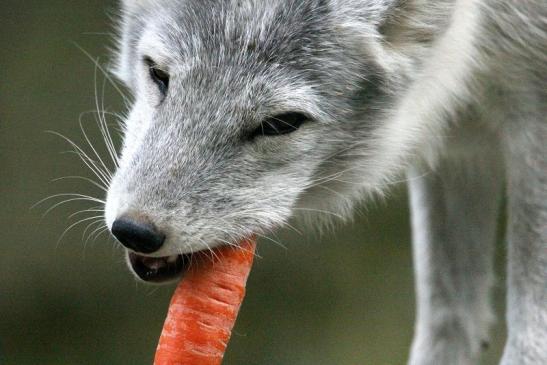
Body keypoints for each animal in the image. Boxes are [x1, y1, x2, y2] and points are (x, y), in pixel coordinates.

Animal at [101, 1, 544, 362]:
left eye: (281, 124)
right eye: (158, 74)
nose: (134, 231)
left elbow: (526, 341)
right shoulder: (457, 150)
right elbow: (449, 320)